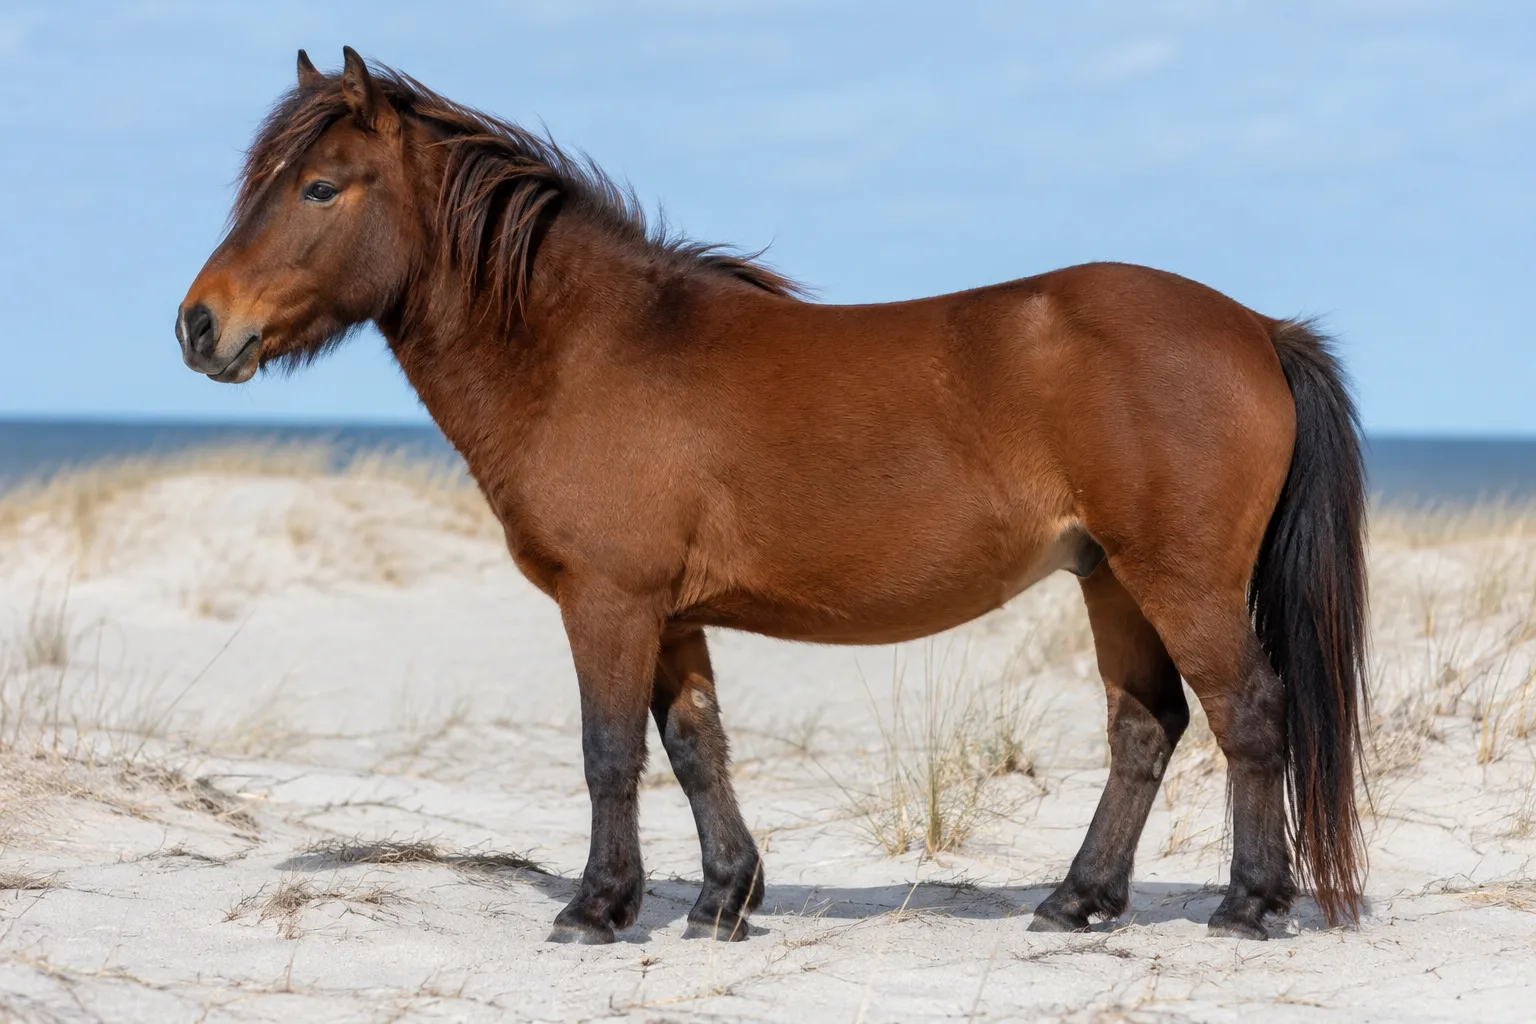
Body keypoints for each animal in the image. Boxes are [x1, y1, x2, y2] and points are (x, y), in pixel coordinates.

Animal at [177, 48, 1369, 945]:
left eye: (321, 186)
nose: (199, 324)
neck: (589, 348)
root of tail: (1256, 327)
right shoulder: (667, 613)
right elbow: (696, 747)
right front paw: (722, 898)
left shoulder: (608, 602)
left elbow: (609, 754)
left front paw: (597, 909)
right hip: (1111, 577)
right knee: (1145, 726)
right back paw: (1078, 901)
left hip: (1179, 578)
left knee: (1247, 713)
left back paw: (1248, 904)